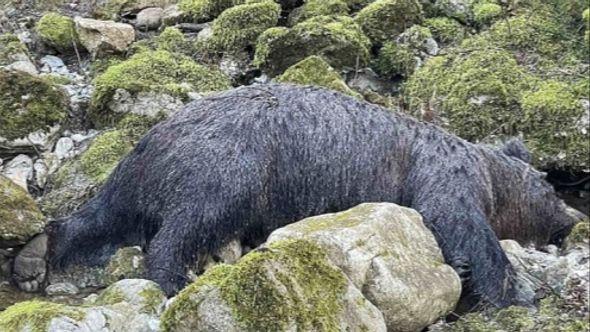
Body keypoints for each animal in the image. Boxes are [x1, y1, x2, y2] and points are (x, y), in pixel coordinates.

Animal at [11, 83, 580, 308]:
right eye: (550, 189)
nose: (572, 217)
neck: (488, 172)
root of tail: (153, 136)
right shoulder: (441, 176)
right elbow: (463, 227)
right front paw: (513, 288)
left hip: (144, 175)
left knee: (101, 216)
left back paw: (42, 254)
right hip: (233, 162)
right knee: (192, 220)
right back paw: (174, 275)